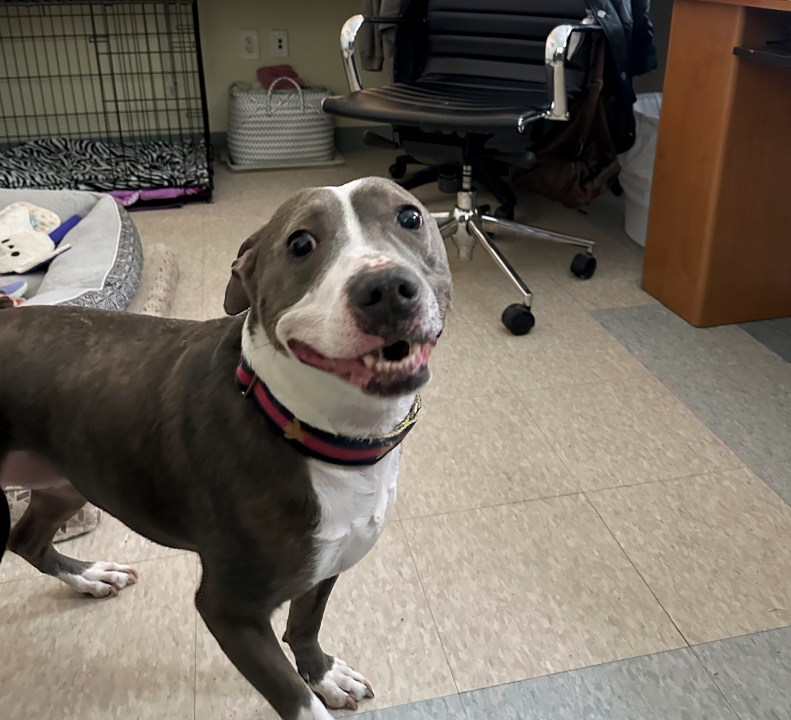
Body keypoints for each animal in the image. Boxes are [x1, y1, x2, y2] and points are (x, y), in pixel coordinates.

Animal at [0, 179, 452, 720]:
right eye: (301, 243)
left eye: (411, 217)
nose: (385, 288)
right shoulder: (229, 612)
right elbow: (297, 699)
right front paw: (312, 686)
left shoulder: (327, 563)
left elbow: (305, 626)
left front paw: (323, 673)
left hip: (67, 481)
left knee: (27, 540)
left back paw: (91, 577)